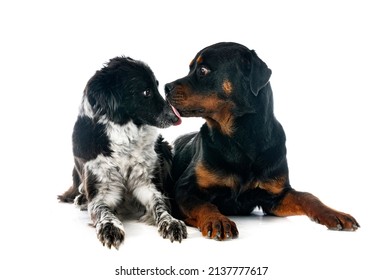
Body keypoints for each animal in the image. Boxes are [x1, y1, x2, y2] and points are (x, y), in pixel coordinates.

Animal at [57, 55, 188, 248]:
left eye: (157, 86)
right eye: (146, 92)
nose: (175, 117)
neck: (125, 140)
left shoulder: (147, 184)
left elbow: (161, 205)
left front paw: (171, 222)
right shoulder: (103, 191)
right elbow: (103, 211)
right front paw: (109, 227)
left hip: (164, 148)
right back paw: (81, 199)